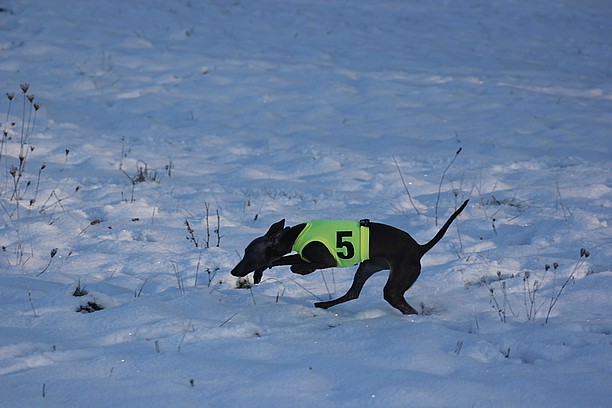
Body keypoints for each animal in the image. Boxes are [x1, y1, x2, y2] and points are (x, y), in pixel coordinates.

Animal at [231, 200, 468, 312]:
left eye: (249, 255)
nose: (233, 271)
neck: (296, 233)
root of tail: (419, 248)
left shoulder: (327, 260)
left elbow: (290, 263)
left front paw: (299, 270)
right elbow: (279, 259)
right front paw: (260, 273)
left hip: (394, 284)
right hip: (367, 267)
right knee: (353, 294)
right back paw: (324, 305)